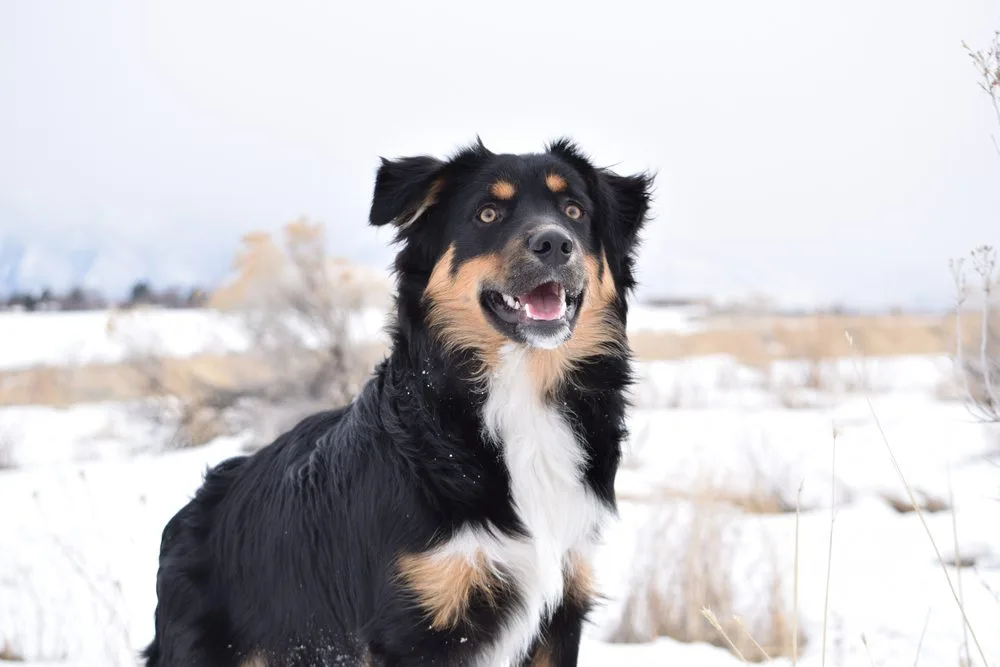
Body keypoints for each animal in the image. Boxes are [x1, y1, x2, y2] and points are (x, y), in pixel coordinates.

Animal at [143, 138, 656, 664]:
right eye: (487, 213)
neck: (519, 394)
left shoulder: (562, 605)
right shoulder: (417, 624)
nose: (555, 243)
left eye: (574, 210)